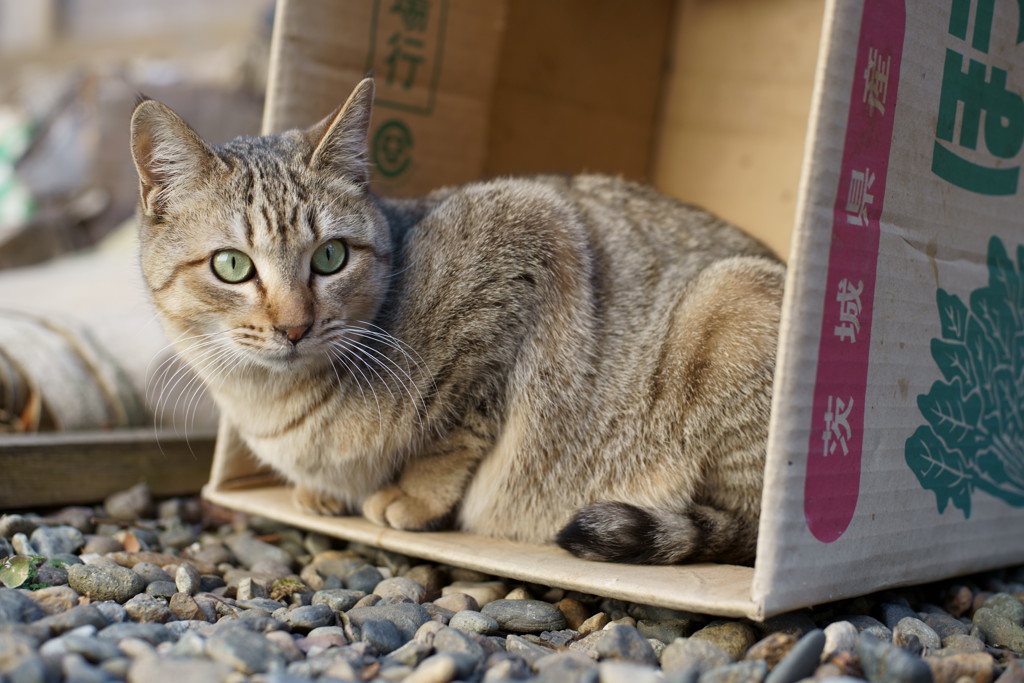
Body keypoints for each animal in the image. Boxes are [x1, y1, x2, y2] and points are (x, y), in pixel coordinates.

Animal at [130, 77, 782, 565]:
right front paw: (322, 493)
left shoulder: (524, 241)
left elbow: (455, 430)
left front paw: (415, 496)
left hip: (732, 300)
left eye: (330, 256)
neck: (271, 404)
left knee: (744, 524)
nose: (294, 327)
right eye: (232, 265)